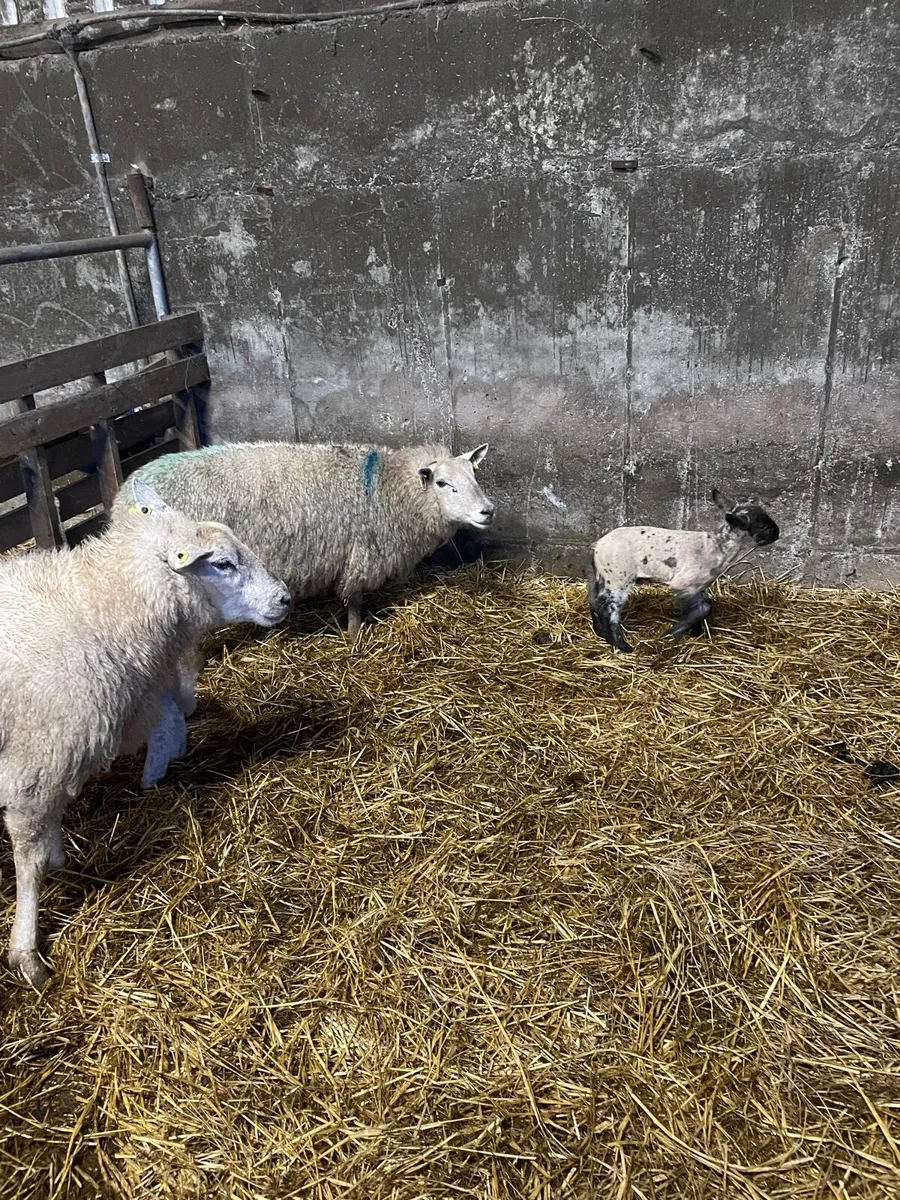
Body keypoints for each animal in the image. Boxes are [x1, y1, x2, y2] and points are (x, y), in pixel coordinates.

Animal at [0, 479, 291, 988]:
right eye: (222, 564)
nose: (285, 598)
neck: (97, 605)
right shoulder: (36, 761)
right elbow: (30, 862)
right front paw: (27, 954)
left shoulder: (51, 759)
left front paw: (60, 859)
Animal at [110, 441, 495, 639]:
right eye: (443, 483)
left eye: (475, 474)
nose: (487, 511)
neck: (383, 487)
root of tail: (121, 498)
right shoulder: (359, 551)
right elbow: (355, 598)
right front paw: (354, 636)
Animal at [587, 489, 780, 653]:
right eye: (763, 527)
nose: (777, 533)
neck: (717, 546)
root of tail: (597, 546)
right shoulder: (685, 584)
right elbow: (701, 609)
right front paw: (674, 632)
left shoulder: (699, 586)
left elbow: (705, 606)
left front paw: (696, 632)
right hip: (618, 577)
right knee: (609, 609)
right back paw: (621, 645)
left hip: (604, 577)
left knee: (595, 601)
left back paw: (600, 632)